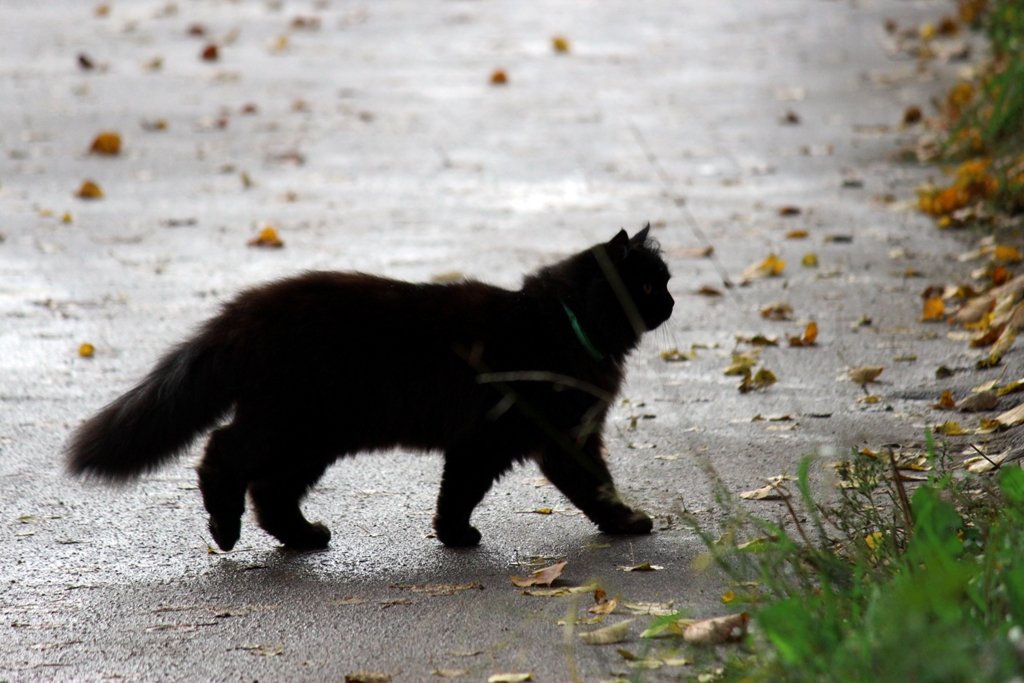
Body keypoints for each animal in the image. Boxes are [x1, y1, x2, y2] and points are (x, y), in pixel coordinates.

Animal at [64, 227, 671, 552]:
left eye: (663, 281)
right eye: (646, 285)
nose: (670, 301)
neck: (563, 323)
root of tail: (246, 308)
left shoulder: (511, 442)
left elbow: (463, 492)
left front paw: (452, 534)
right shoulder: (535, 437)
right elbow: (589, 487)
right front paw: (628, 524)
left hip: (314, 438)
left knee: (270, 491)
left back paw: (303, 536)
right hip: (288, 423)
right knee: (221, 453)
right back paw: (224, 527)